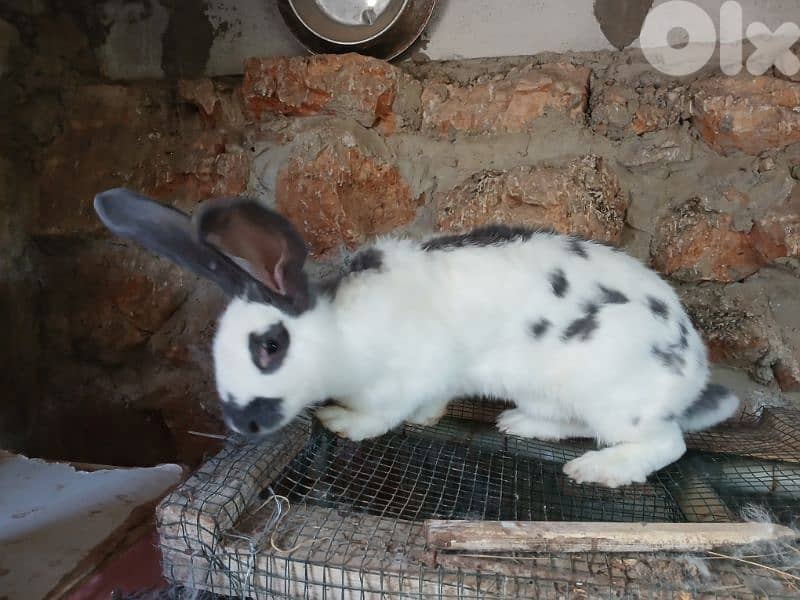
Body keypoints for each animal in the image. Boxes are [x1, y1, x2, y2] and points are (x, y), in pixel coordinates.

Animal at [93, 187, 740, 488]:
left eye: (270, 347)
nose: (242, 422)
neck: (342, 334)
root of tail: (693, 367)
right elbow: (431, 407)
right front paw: (429, 418)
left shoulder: (406, 378)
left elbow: (384, 417)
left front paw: (341, 422)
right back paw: (520, 425)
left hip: (617, 398)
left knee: (667, 445)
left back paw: (598, 470)